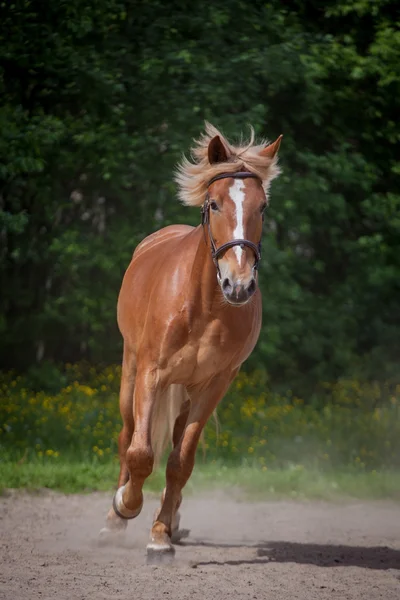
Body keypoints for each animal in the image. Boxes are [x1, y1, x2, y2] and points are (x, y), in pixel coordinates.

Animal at [99, 122, 282, 556]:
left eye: (262, 207)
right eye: (214, 204)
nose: (238, 284)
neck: (205, 305)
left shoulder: (213, 385)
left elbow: (181, 461)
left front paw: (160, 535)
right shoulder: (150, 375)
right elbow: (140, 453)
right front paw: (125, 506)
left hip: (185, 391)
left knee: (174, 446)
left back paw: (170, 519)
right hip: (130, 370)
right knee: (127, 435)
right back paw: (115, 519)